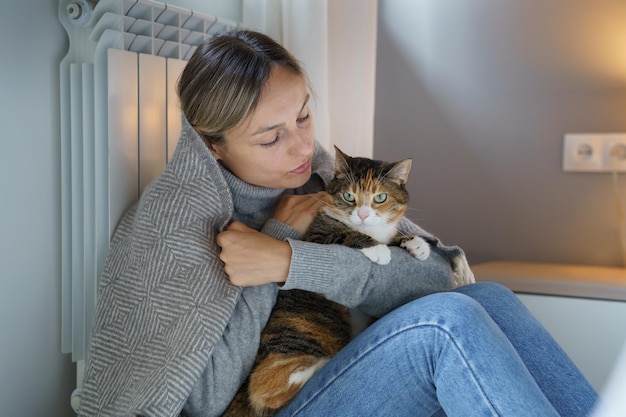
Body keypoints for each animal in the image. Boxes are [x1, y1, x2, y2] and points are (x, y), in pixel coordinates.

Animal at [222, 146, 432, 416]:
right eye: (349, 196)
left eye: (381, 198)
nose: (363, 215)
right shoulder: (317, 236)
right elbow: (344, 233)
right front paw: (377, 249)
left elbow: (392, 238)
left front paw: (416, 244)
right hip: (300, 335)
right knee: (267, 388)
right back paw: (335, 359)